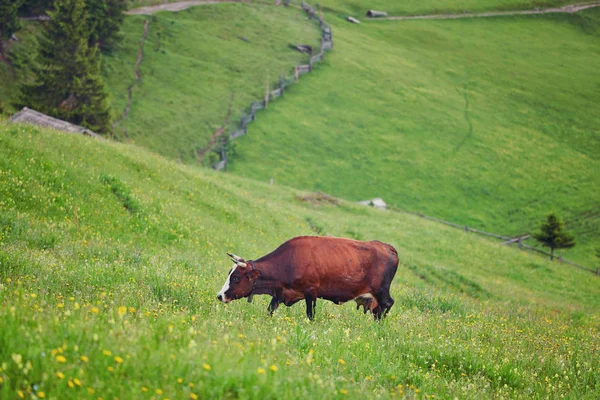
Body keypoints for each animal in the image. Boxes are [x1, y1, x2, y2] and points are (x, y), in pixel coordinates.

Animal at [216, 236, 398, 320]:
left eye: (236, 278)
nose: (219, 295)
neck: (289, 261)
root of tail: (388, 247)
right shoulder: (280, 292)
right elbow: (270, 310)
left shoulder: (311, 292)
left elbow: (310, 315)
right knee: (378, 310)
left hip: (382, 291)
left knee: (388, 304)